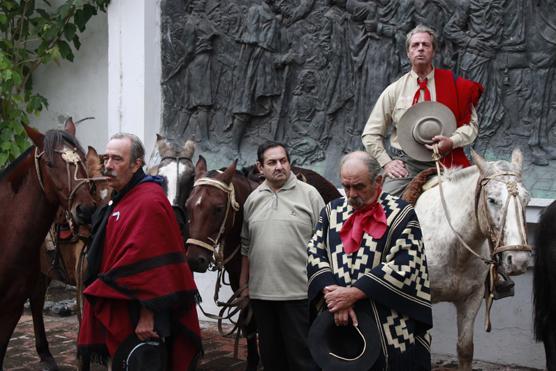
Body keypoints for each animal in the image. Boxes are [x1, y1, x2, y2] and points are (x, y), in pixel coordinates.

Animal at [186, 157, 338, 371]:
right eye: (188, 205)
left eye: (218, 208)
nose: (194, 259)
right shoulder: (241, 284)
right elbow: (250, 324)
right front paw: (253, 362)